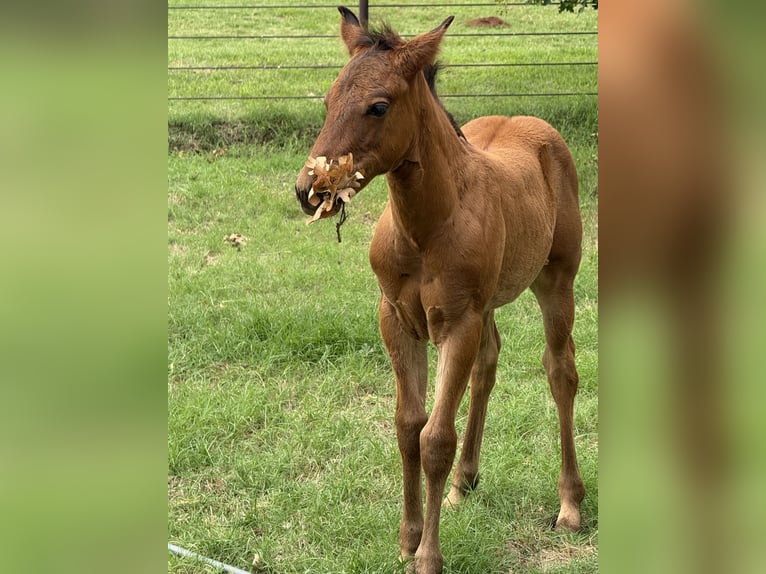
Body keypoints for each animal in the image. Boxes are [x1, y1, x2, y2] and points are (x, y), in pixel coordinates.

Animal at [294, 8, 585, 573]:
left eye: (378, 106)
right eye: (328, 100)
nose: (307, 190)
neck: (426, 231)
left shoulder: (456, 323)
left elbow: (435, 439)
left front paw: (428, 556)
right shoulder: (397, 320)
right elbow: (408, 427)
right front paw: (407, 539)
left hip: (557, 282)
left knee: (561, 372)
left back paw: (570, 506)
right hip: (490, 303)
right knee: (488, 365)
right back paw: (462, 485)